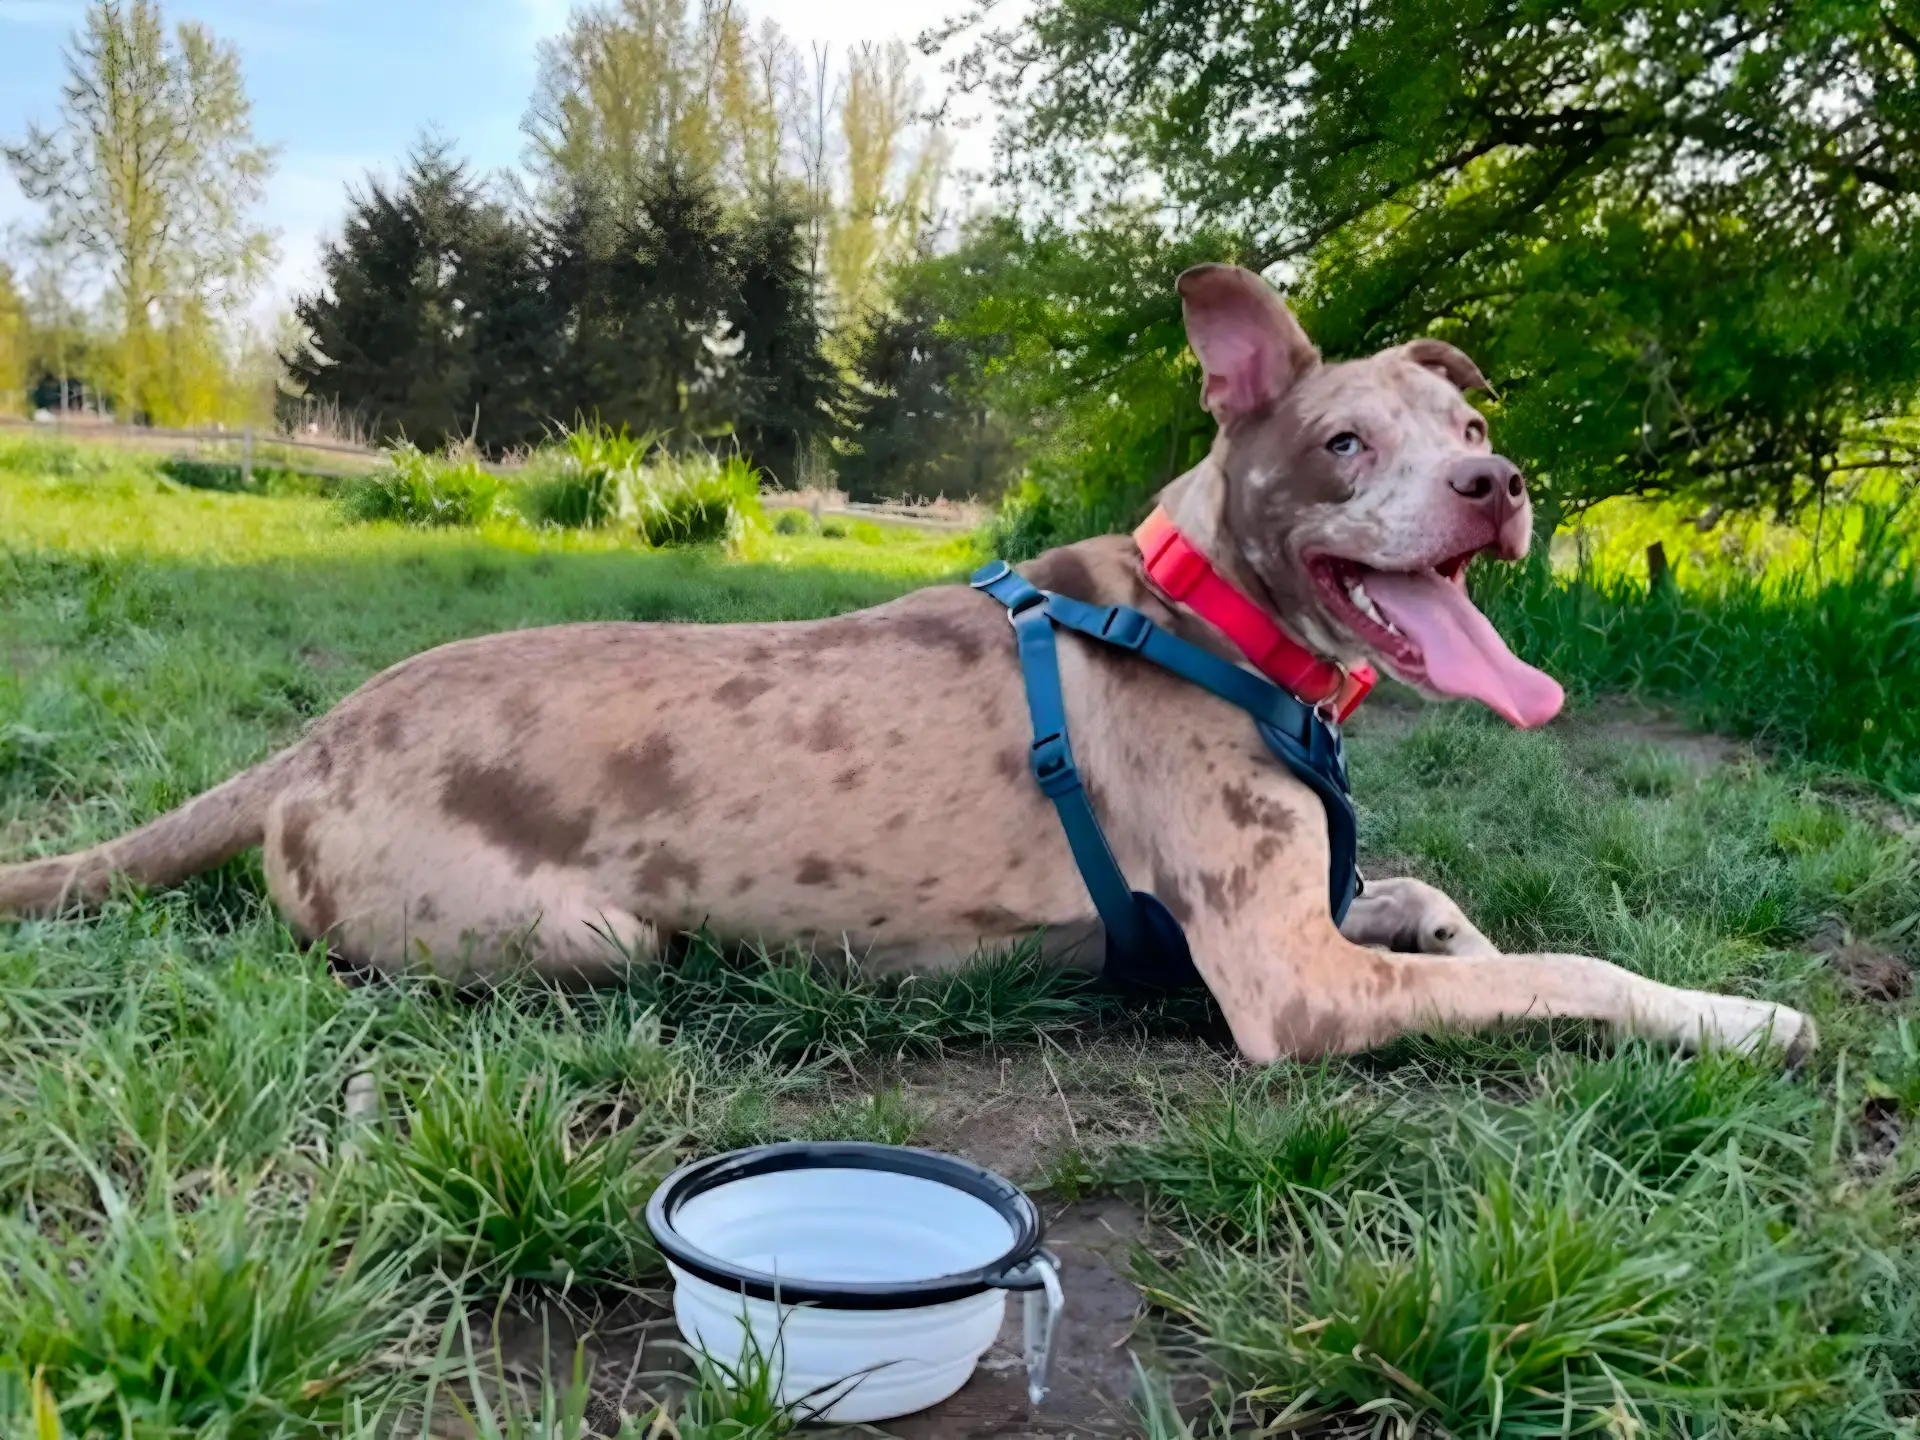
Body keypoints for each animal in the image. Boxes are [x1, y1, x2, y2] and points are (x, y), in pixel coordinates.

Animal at [0, 264, 1812, 1067]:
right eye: (1348, 439)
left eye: (1467, 422)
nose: (1500, 484)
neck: (1209, 619)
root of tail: (313, 737)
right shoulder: (1293, 985)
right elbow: (1574, 970)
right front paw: (1736, 1012)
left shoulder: (1320, 913)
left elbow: (1446, 903)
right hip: (583, 938)